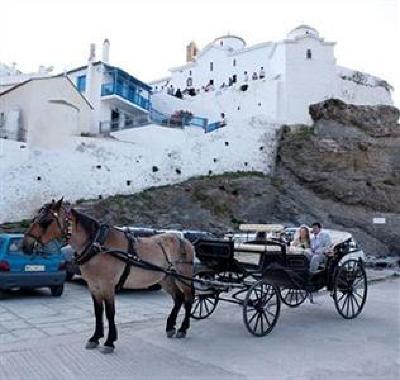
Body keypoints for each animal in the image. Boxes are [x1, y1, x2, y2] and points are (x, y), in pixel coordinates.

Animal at [22, 199, 195, 354]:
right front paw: (95, 338)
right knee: (178, 298)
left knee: (187, 299)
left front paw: (109, 341)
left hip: (183, 277)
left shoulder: (107, 286)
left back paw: (182, 328)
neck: (97, 245)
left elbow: (110, 313)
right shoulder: (94, 286)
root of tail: (183, 239)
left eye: (46, 221)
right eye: (35, 218)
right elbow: (98, 311)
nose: (25, 245)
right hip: (166, 279)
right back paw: (171, 326)